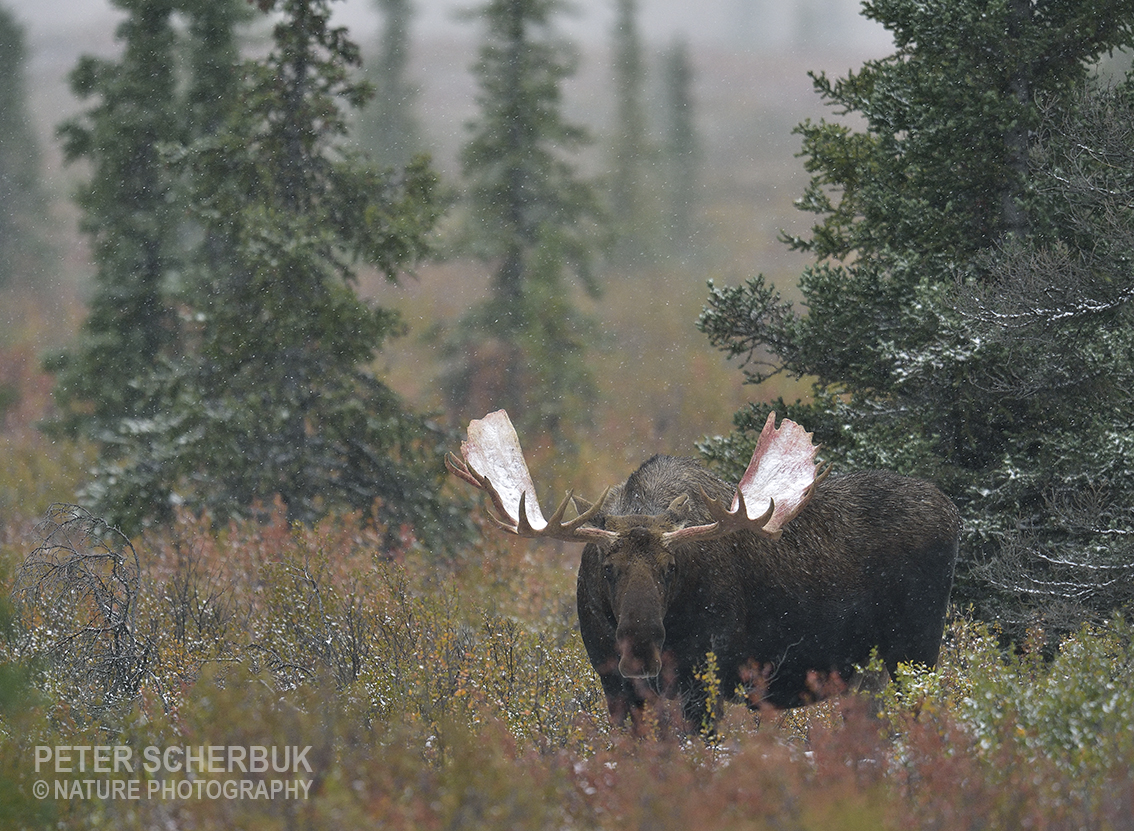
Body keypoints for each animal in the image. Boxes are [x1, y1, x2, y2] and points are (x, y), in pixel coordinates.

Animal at [444, 408, 957, 725]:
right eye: (608, 568)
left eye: (671, 567)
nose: (640, 647)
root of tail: (954, 510)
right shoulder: (615, 686)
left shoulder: (705, 684)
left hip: (916, 650)